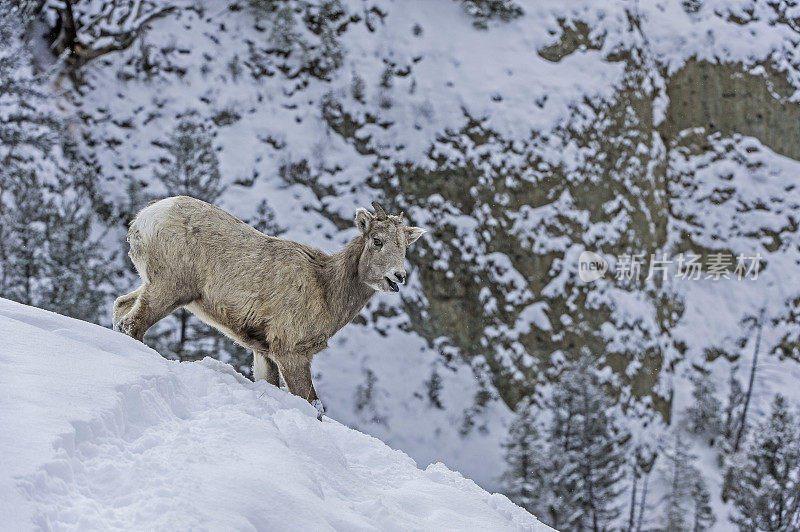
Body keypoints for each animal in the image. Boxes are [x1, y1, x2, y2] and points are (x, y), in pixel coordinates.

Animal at [114, 194, 424, 416]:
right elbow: (313, 406)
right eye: (377, 241)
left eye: (404, 247)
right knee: (133, 324)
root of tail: (145, 217)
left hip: (154, 286)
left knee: (121, 307)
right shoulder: (291, 353)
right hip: (169, 289)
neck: (326, 288)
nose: (398, 277)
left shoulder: (263, 353)